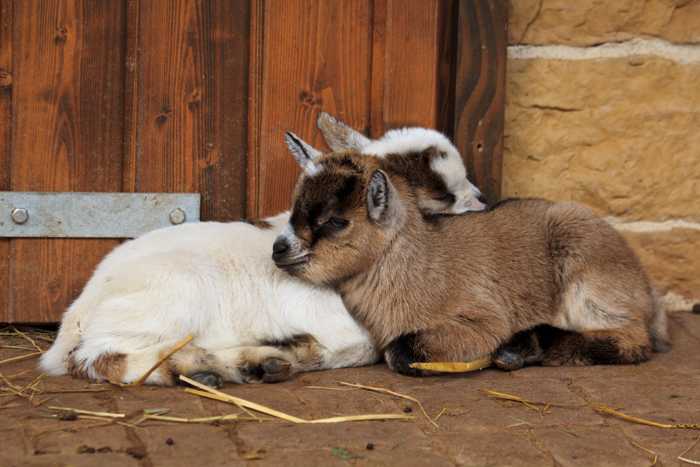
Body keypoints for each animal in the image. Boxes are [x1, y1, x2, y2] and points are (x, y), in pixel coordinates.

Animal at [272, 148, 668, 374]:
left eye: (335, 221)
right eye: (294, 207)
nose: (279, 249)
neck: (423, 264)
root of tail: (646, 289)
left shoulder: (482, 318)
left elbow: (398, 351)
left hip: (588, 273)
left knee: (633, 340)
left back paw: (520, 348)